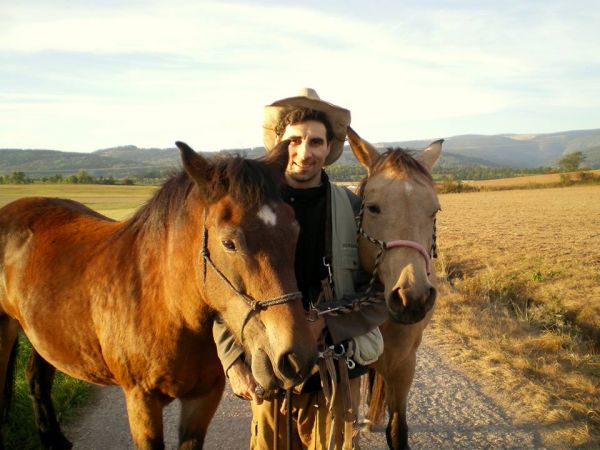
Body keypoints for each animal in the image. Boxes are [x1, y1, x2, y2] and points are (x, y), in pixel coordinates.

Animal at [0, 141, 318, 450]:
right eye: (229, 243)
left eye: (294, 230)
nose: (296, 357)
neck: (167, 308)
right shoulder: (142, 402)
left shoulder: (203, 399)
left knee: (37, 379)